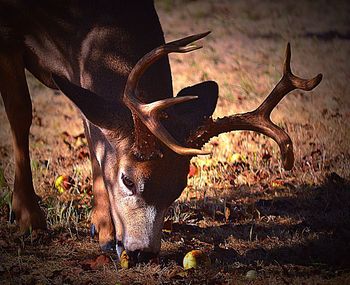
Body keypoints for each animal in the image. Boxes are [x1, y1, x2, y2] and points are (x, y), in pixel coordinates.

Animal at [0, 0, 322, 264]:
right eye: (127, 180)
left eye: (178, 188)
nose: (143, 253)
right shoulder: (8, 30)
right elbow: (20, 111)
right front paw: (28, 216)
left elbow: (93, 132)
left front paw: (103, 228)